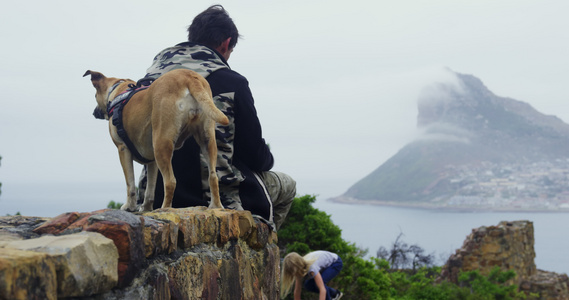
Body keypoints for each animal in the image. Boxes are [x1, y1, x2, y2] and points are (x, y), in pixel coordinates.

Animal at [83, 69, 227, 212]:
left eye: (95, 95)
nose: (94, 112)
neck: (120, 89)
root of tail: (188, 76)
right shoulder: (152, 161)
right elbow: (150, 189)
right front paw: (146, 208)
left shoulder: (123, 149)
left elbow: (130, 184)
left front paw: (129, 206)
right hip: (207, 139)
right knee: (213, 176)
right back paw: (216, 206)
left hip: (161, 143)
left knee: (170, 181)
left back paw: (165, 208)